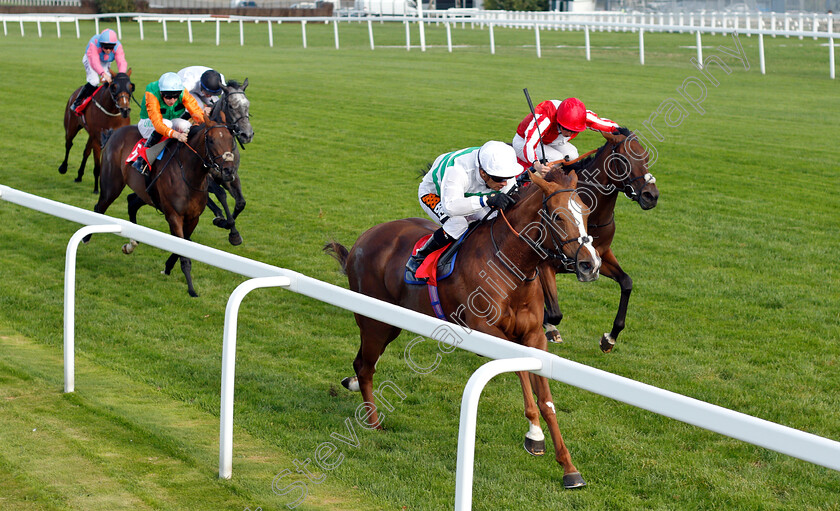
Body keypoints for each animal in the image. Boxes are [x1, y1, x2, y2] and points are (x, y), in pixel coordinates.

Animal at [86, 116, 236, 298]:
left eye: (231, 139)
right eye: (212, 140)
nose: (229, 171)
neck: (189, 174)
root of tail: (114, 133)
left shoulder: (193, 218)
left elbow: (183, 246)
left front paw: (167, 268)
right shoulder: (174, 216)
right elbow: (182, 251)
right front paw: (191, 289)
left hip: (145, 192)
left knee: (131, 202)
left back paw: (132, 243)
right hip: (111, 186)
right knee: (99, 207)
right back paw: (87, 238)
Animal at [206, 79, 253, 247]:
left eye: (248, 105)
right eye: (231, 106)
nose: (247, 134)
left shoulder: (231, 175)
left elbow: (240, 202)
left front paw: (227, 224)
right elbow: (221, 194)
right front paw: (231, 229)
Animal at [324, 170, 600, 490]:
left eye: (586, 212)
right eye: (557, 216)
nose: (590, 265)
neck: (511, 264)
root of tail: (365, 237)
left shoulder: (534, 337)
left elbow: (546, 399)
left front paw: (569, 467)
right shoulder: (486, 331)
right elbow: (522, 376)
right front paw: (534, 435)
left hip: (390, 322)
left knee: (364, 363)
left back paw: (353, 385)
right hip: (375, 321)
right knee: (365, 366)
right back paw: (374, 422)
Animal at [540, 130, 664, 352]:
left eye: (646, 157)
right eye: (624, 160)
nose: (651, 196)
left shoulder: (600, 257)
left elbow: (627, 282)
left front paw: (610, 337)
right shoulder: (544, 264)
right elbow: (554, 312)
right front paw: (549, 327)